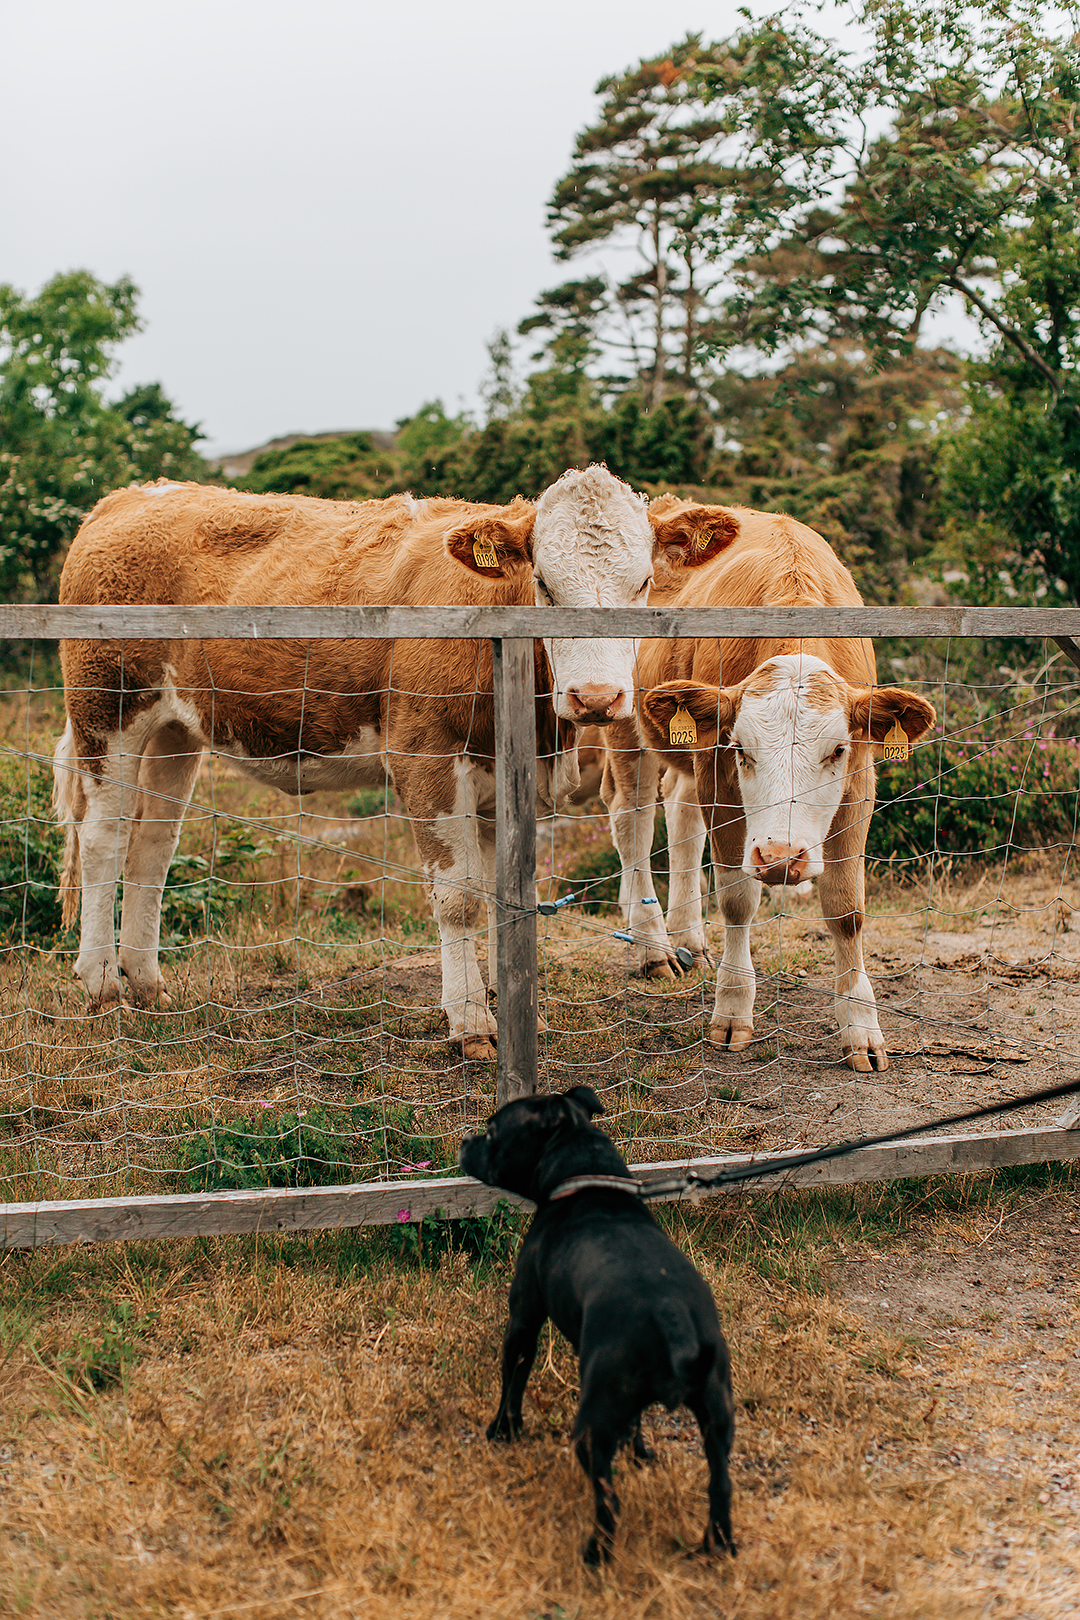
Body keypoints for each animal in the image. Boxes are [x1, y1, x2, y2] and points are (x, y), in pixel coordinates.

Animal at [57, 463, 735, 1056]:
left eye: (642, 584)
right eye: (544, 583)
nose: (596, 697)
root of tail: (133, 495)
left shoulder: (497, 774)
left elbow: (501, 893)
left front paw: (505, 1004)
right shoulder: (424, 756)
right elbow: (459, 896)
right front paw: (472, 1025)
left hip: (176, 730)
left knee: (152, 844)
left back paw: (147, 984)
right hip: (105, 709)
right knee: (104, 838)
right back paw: (103, 984)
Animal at [456, 1082, 735, 1561]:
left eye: (492, 1132)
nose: (464, 1142)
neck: (586, 1178)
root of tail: (674, 1326)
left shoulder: (523, 1320)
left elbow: (513, 1380)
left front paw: (502, 1431)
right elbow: (636, 1426)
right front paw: (639, 1453)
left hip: (592, 1421)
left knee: (609, 1498)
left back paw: (596, 1554)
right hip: (718, 1415)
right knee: (720, 1487)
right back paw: (716, 1547)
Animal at [599, 498, 939, 1069]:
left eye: (837, 750)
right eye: (742, 749)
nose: (781, 857)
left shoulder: (859, 784)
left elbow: (847, 909)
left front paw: (861, 1027)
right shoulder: (720, 777)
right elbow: (738, 899)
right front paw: (733, 1010)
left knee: (679, 814)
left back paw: (688, 936)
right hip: (625, 726)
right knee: (633, 820)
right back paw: (653, 948)